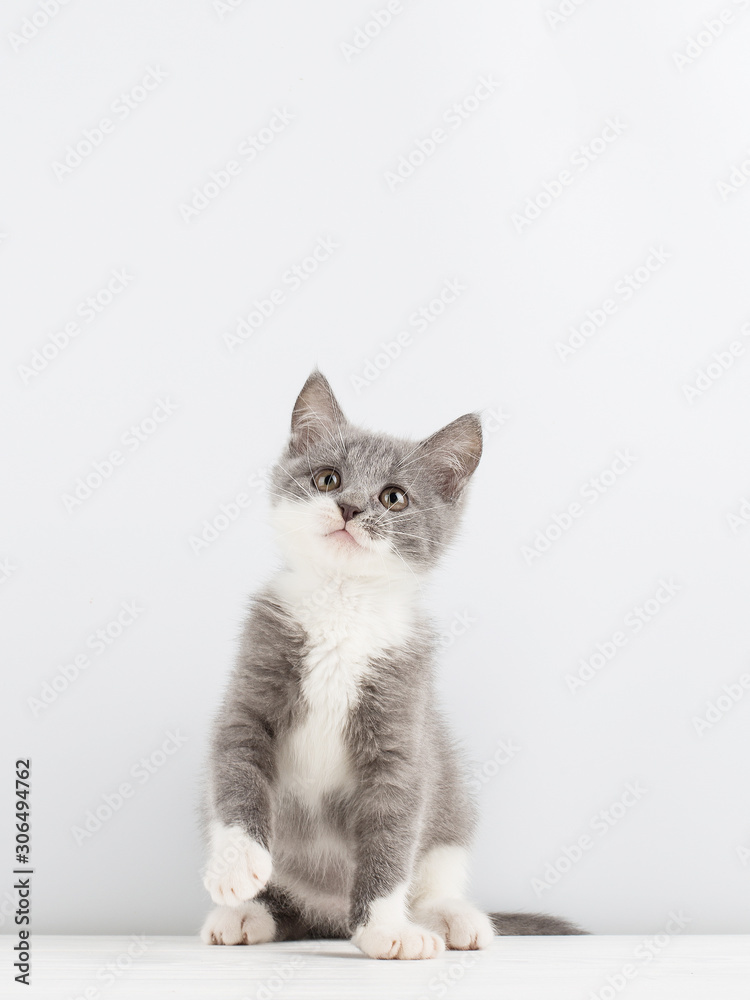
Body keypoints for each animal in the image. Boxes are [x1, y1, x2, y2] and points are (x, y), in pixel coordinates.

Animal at [198, 372, 580, 956]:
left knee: (436, 868)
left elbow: (391, 835)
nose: (350, 508)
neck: (342, 606)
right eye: (328, 478)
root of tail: (331, 915)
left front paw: (384, 930)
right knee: (290, 908)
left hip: (451, 813)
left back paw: (450, 918)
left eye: (393, 497)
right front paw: (237, 866)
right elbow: (237, 773)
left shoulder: (403, 734)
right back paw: (248, 914)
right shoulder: (251, 688)